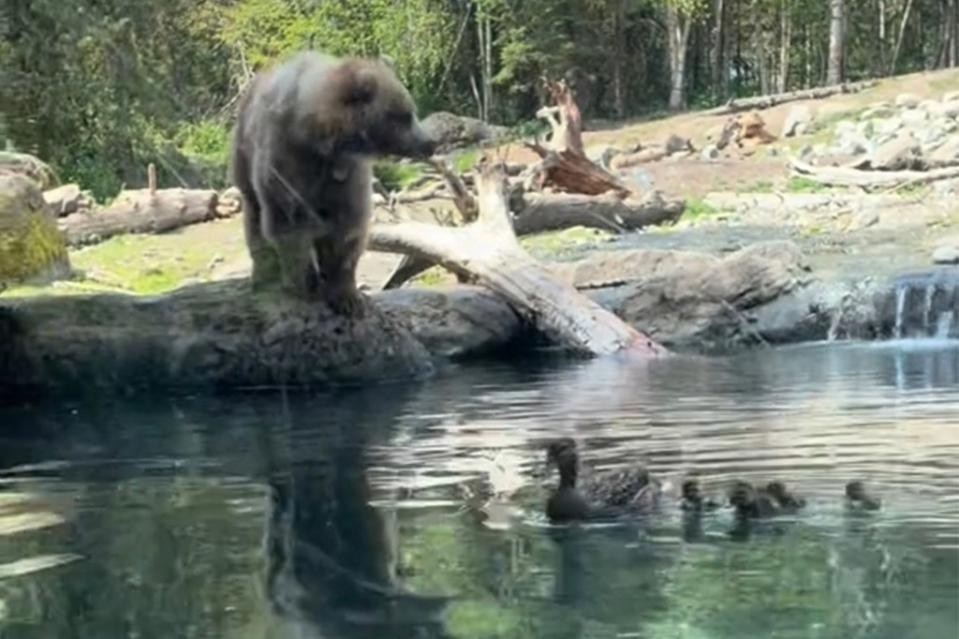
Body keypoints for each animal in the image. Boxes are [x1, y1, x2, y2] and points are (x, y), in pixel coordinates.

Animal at [232, 52, 436, 316]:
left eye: (410, 111)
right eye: (404, 115)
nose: (430, 143)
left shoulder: (346, 176)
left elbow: (347, 231)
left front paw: (347, 296)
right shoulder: (286, 160)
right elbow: (290, 224)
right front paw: (304, 282)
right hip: (244, 157)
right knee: (255, 217)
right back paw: (263, 275)